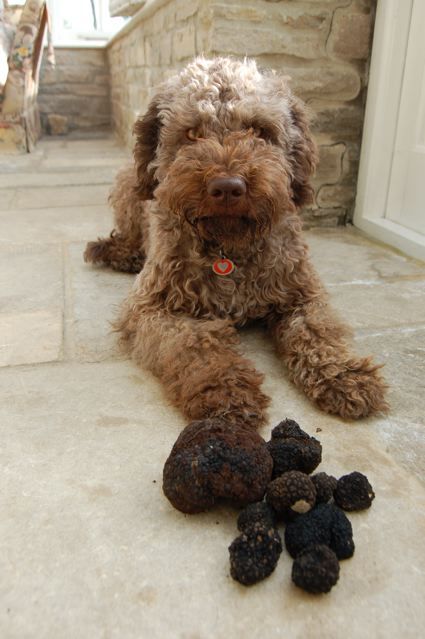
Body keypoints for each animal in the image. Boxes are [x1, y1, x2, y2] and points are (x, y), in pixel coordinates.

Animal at [83, 57, 388, 428]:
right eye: (192, 133)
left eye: (259, 130)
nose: (228, 187)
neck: (229, 247)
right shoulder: (149, 307)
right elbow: (193, 342)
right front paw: (225, 391)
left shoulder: (302, 293)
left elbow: (318, 330)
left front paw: (344, 374)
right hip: (128, 185)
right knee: (125, 233)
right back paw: (119, 253)